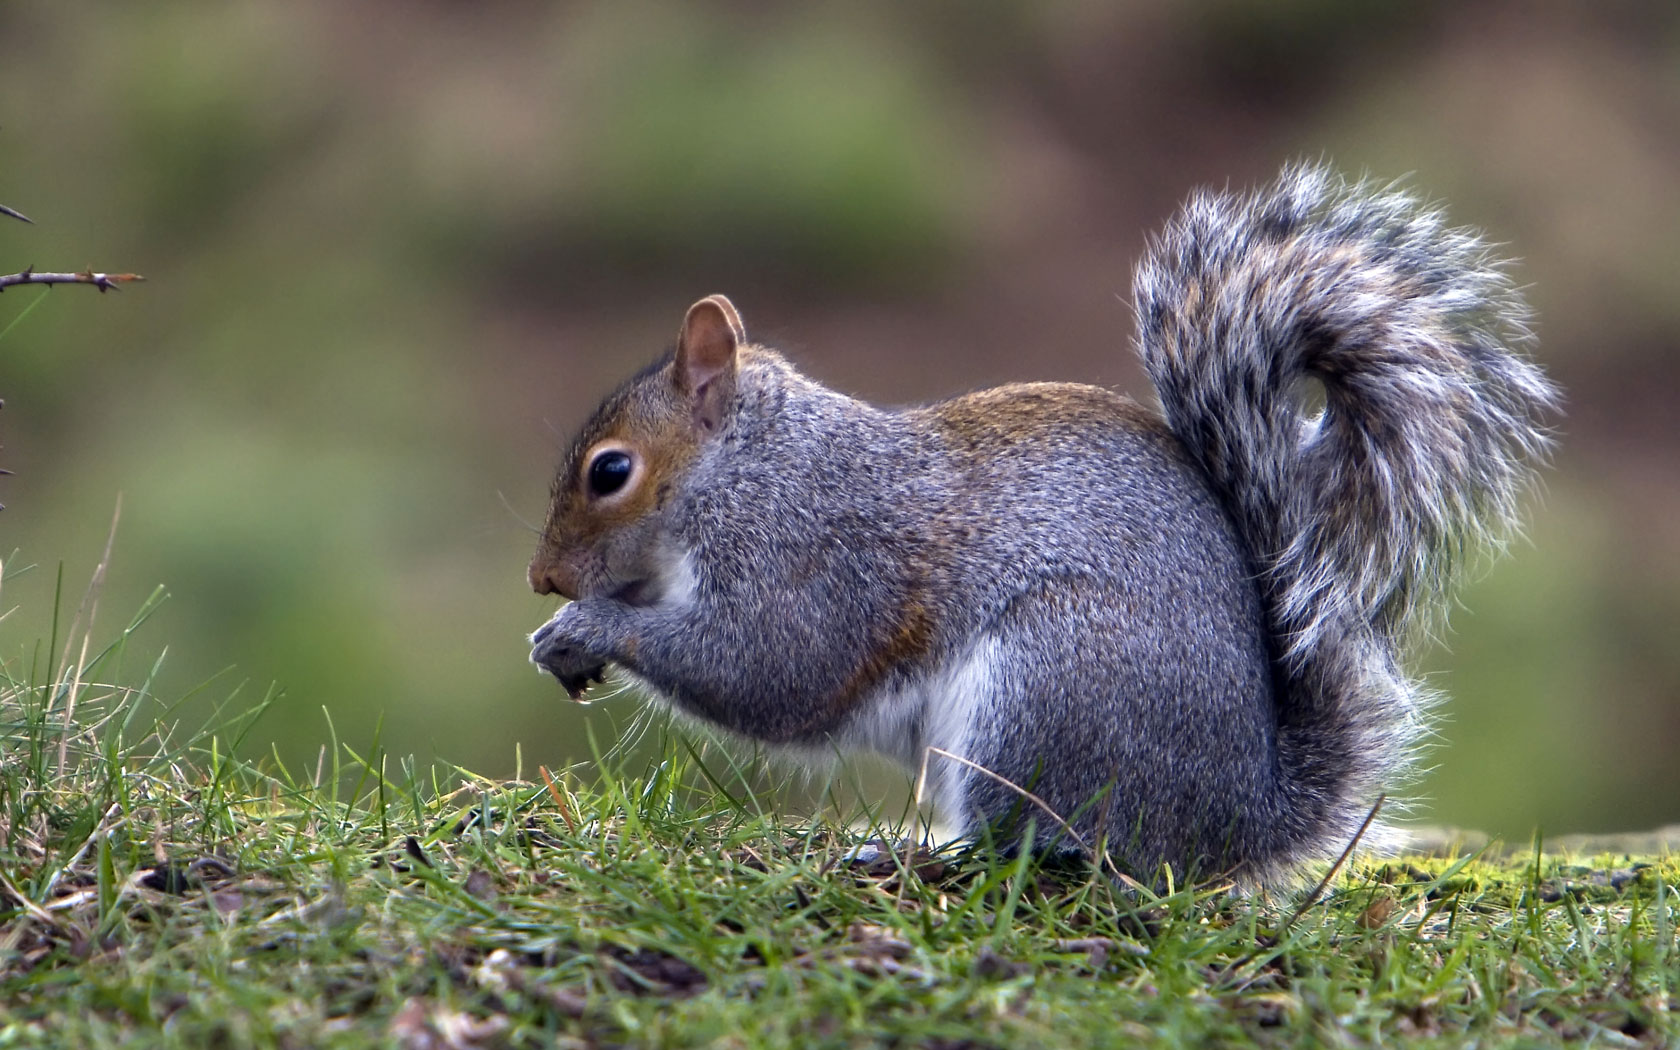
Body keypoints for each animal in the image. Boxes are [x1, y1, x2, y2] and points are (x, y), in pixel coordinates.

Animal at [526, 163, 1559, 885]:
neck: (746, 466)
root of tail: (1234, 821)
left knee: (1044, 849)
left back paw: (913, 857)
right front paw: (557, 638)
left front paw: (591, 627)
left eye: (611, 472)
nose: (544, 581)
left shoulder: (815, 550)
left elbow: (772, 668)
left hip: (1043, 689)